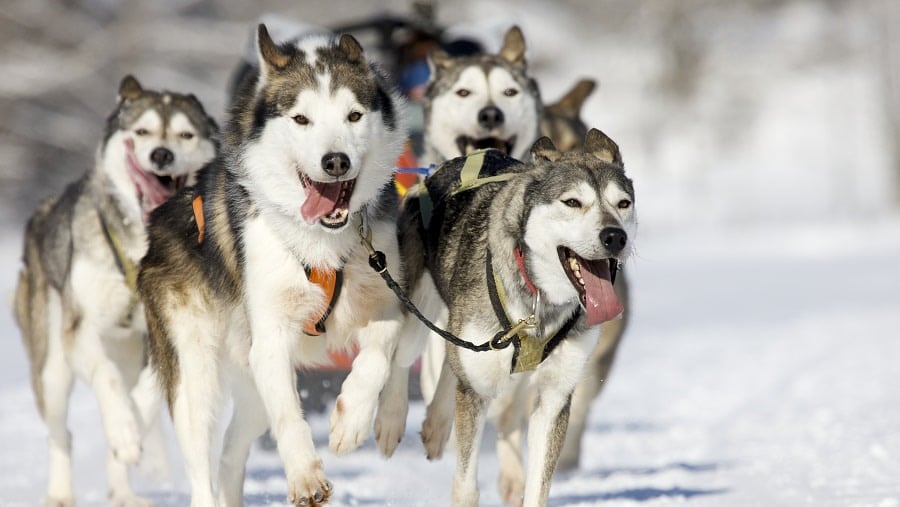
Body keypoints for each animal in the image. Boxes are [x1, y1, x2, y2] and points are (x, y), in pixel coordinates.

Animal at [14, 76, 219, 507]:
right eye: (141, 132)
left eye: (186, 134)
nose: (162, 155)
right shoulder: (81, 332)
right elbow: (106, 380)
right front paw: (126, 429)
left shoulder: (163, 332)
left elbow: (148, 392)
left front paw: (134, 426)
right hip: (52, 368)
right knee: (61, 433)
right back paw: (60, 493)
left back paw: (123, 491)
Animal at [137, 26, 408, 507]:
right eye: (301, 119)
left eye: (354, 115)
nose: (335, 161)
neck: (321, 242)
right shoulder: (271, 339)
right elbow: (290, 418)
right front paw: (305, 476)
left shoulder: (384, 299)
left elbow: (379, 356)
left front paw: (351, 420)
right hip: (196, 375)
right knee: (202, 461)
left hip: (249, 387)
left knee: (230, 454)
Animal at [400, 129, 632, 506]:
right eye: (572, 202)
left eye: (623, 203)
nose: (615, 236)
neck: (539, 302)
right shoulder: (477, 389)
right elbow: (465, 486)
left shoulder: (553, 397)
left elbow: (538, 485)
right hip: (415, 313)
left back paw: (436, 424)